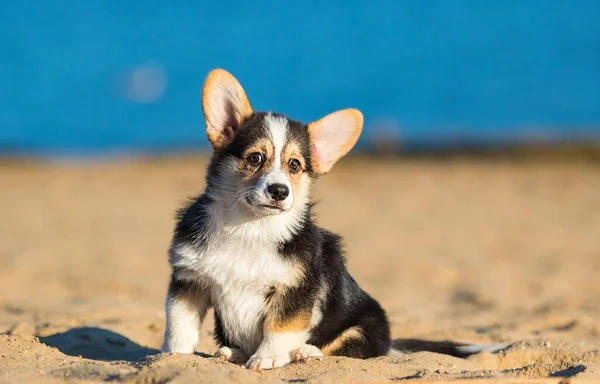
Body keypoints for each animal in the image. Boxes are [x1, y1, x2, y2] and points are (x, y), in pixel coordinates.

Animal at [162, 68, 504, 368]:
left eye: (295, 165)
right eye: (255, 157)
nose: (279, 191)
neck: (250, 227)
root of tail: (389, 343)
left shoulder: (296, 291)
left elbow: (280, 328)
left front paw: (268, 358)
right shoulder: (189, 282)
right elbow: (179, 326)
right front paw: (173, 356)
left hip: (365, 323)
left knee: (344, 347)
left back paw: (305, 352)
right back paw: (232, 352)